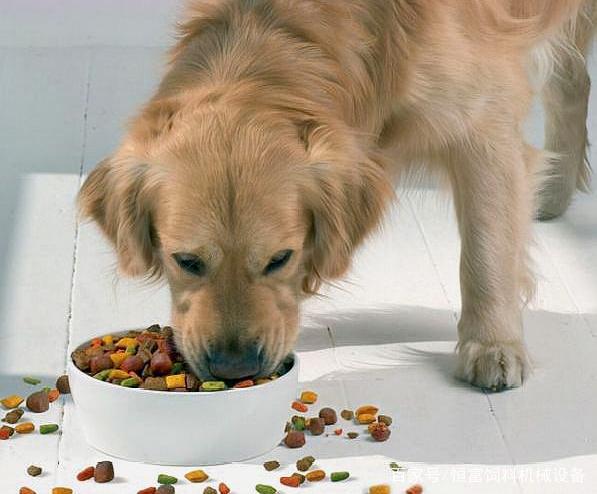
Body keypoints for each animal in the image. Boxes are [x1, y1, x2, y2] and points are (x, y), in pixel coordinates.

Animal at [78, 0, 592, 392]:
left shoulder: (483, 118)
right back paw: (552, 194)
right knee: (574, 80)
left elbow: (486, 249)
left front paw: (493, 345)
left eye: (280, 258)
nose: (234, 367)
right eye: (185, 261)